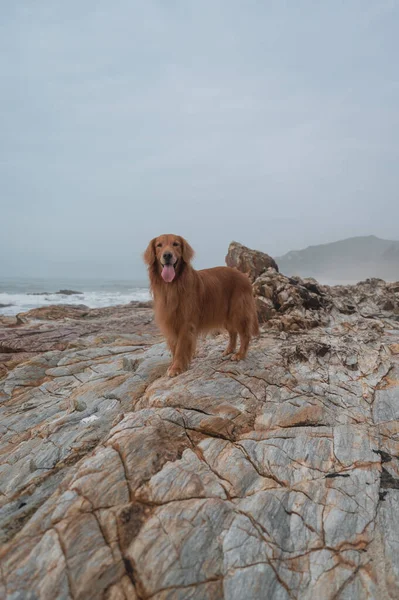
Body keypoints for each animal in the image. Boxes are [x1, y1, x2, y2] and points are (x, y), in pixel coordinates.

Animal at [144, 233, 260, 376]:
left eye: (175, 244)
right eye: (159, 245)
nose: (167, 255)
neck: (172, 286)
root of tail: (244, 275)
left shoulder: (185, 324)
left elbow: (180, 348)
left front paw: (177, 368)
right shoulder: (170, 322)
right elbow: (174, 348)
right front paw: (173, 365)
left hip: (238, 312)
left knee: (245, 334)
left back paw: (240, 354)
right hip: (226, 314)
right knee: (233, 332)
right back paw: (229, 350)